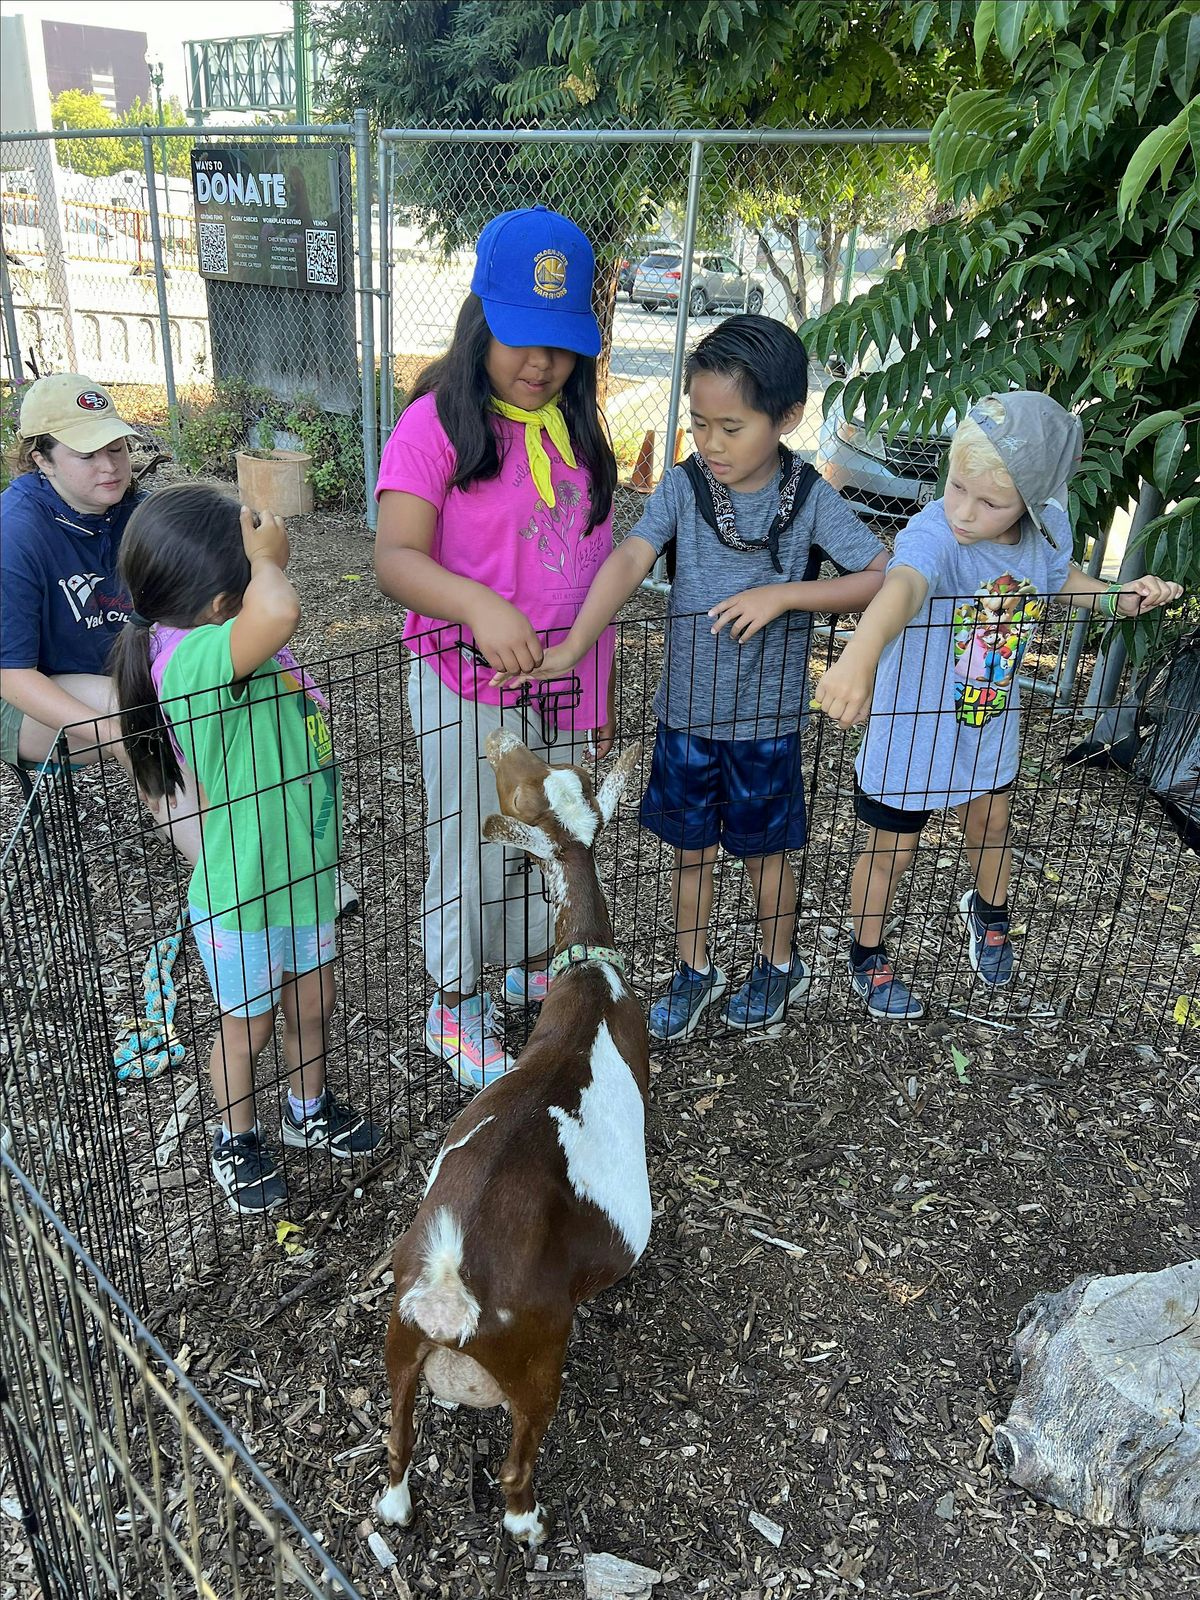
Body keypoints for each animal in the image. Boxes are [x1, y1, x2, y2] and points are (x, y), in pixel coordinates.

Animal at [380, 732, 652, 1542]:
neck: (589, 978)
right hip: (537, 1360)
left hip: (397, 1339)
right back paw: (527, 1524)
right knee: (514, 1463)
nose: (497, 738)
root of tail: (448, 1293)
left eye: (543, 771)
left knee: (397, 1439)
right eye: (518, 776)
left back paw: (395, 1508)